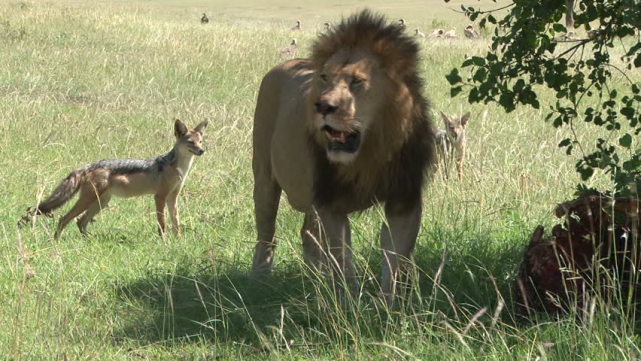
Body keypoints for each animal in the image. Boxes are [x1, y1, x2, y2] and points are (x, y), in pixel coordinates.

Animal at [250, 10, 436, 304]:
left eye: (356, 81)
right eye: (325, 78)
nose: (323, 106)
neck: (370, 152)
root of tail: (287, 63)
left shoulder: (404, 200)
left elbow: (396, 259)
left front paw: (390, 306)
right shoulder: (330, 203)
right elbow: (343, 261)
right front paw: (350, 303)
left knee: (308, 235)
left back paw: (315, 280)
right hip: (265, 176)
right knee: (267, 231)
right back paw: (260, 278)